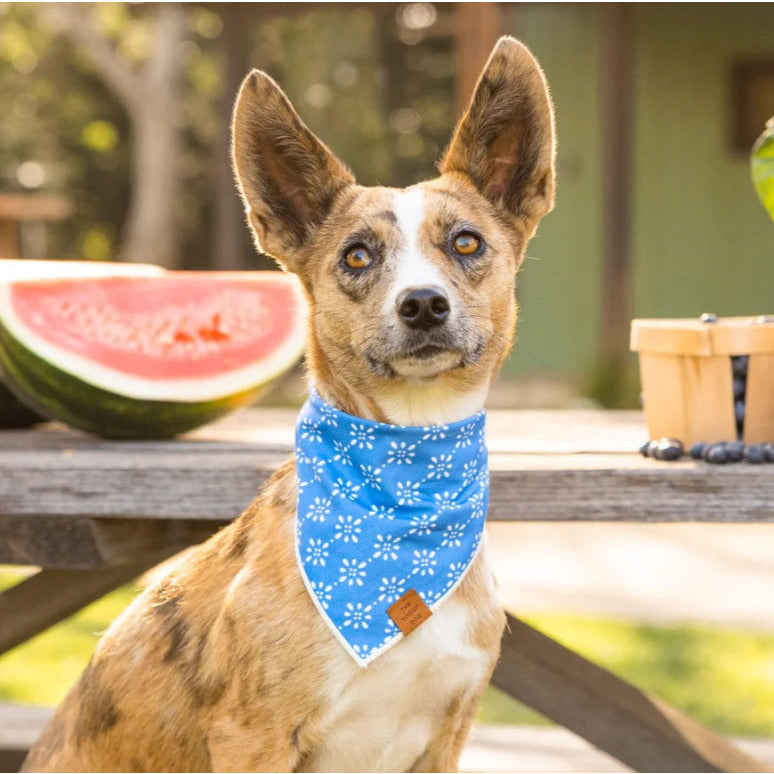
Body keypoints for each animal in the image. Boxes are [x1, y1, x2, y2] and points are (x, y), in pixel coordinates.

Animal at [24, 33, 556, 772]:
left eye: (466, 242)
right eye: (358, 256)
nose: (423, 304)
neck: (407, 484)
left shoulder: (447, 734)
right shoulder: (254, 735)